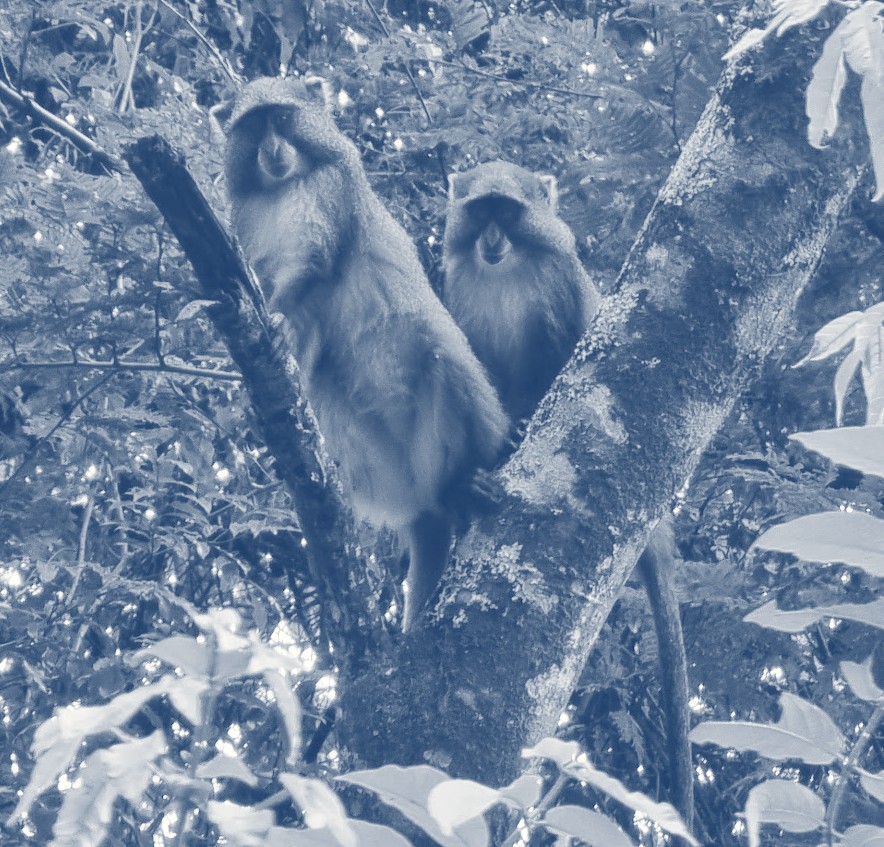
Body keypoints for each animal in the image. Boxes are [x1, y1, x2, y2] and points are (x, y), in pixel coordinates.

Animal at [224, 78, 510, 632]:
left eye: (282, 119)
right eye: (253, 124)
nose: (271, 148)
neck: (280, 190)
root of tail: (420, 504)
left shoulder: (332, 192)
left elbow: (313, 272)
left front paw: (277, 323)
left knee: (442, 357)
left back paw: (463, 486)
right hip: (378, 464)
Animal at [441, 161, 694, 830]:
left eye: (509, 211)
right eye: (480, 212)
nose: (492, 239)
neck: (505, 271)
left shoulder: (559, 283)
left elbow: (562, 354)